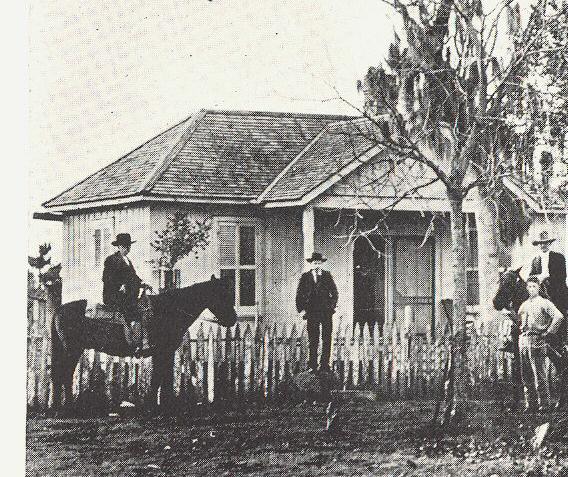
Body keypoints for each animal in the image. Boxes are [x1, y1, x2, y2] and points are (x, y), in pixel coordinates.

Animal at [48, 276, 235, 412]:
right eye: (222, 295)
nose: (232, 320)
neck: (169, 310)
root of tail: (59, 310)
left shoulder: (166, 353)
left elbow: (162, 378)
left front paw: (162, 404)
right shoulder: (162, 352)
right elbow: (159, 378)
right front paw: (154, 404)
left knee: (60, 375)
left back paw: (59, 407)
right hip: (72, 350)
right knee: (64, 374)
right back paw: (69, 407)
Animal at [492, 268, 568, 410]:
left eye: (510, 283)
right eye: (499, 281)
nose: (496, 302)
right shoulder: (517, 350)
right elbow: (517, 373)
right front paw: (516, 404)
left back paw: (560, 402)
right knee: (562, 367)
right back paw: (560, 402)